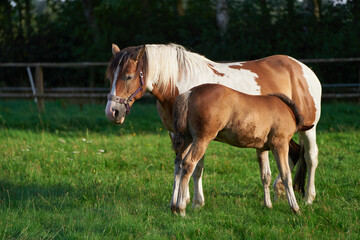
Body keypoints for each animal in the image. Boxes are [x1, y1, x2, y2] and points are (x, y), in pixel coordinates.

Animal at [172, 83, 312, 215]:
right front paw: (295, 208)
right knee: (188, 164)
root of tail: (191, 92)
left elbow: (265, 176)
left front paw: (268, 205)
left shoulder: (262, 149)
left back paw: (173, 206)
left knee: (178, 163)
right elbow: (286, 175)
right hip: (201, 140)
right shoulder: (280, 145)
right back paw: (181, 208)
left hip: (188, 139)